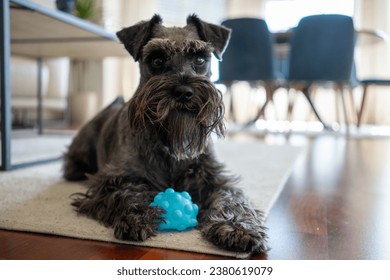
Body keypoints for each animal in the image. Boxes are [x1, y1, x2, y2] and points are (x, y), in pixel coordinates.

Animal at [64, 13, 268, 254]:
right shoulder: (112, 179)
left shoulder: (215, 178)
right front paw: (138, 214)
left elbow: (232, 199)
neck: (169, 142)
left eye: (200, 59)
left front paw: (236, 227)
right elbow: (125, 192)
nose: (183, 92)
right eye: (157, 60)